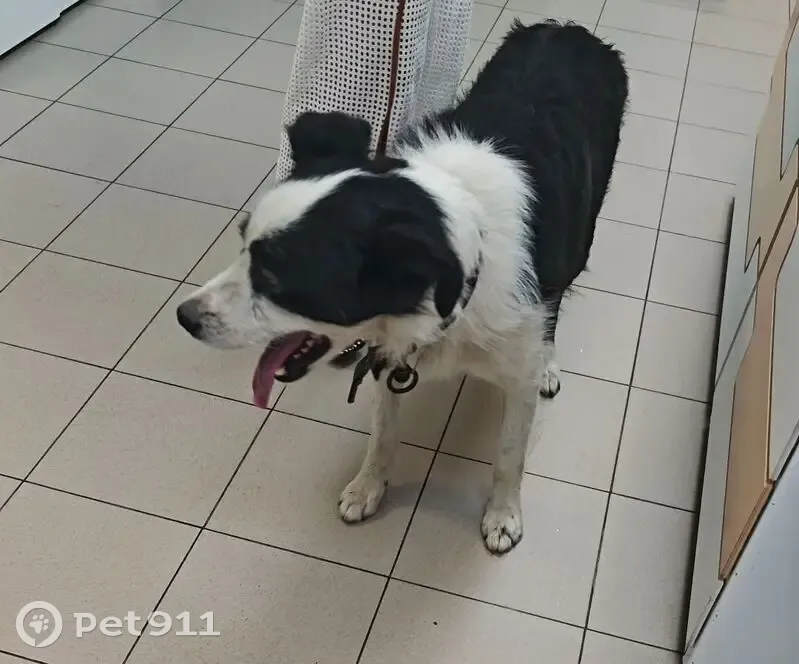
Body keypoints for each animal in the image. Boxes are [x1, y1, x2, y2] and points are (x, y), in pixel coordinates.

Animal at [177, 20, 628, 554]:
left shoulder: (517, 366)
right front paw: (368, 486)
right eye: (243, 246)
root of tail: (567, 28)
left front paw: (502, 515)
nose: (183, 318)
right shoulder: (386, 354)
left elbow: (508, 454)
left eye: (276, 278)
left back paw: (551, 363)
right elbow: (383, 430)